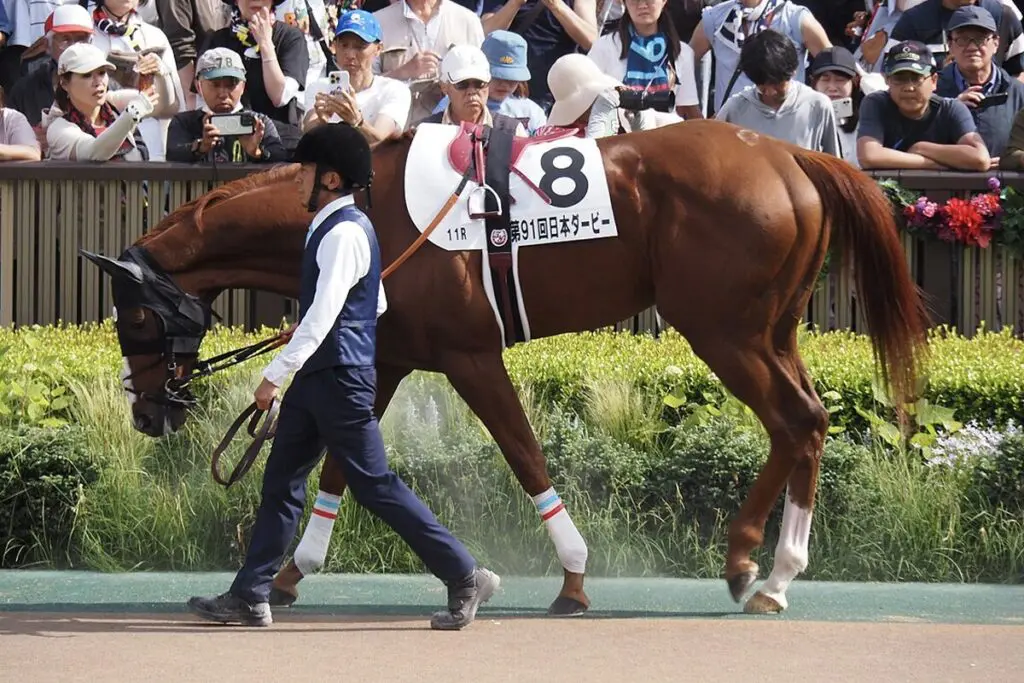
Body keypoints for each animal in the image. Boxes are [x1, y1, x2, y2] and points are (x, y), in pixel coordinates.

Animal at [83, 119, 929, 617]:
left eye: (135, 318)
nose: (148, 410)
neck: (372, 209)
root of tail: (787, 154)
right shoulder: (389, 357)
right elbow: (341, 467)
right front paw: (292, 573)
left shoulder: (470, 355)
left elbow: (524, 454)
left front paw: (574, 575)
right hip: (768, 331)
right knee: (807, 422)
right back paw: (767, 566)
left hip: (723, 331)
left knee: (795, 420)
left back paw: (760, 568)